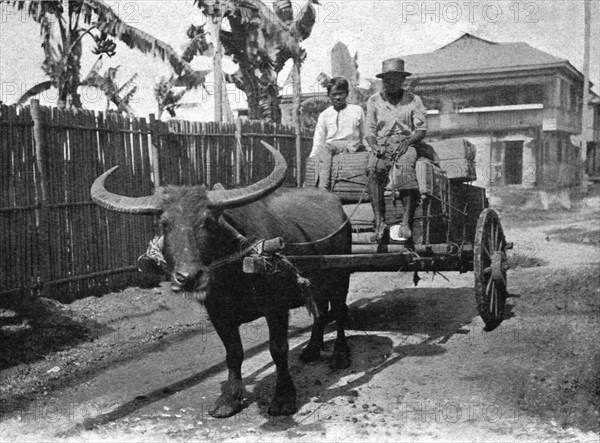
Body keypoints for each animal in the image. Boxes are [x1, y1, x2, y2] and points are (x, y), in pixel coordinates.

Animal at [89, 143, 352, 420]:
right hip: (319, 283)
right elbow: (233, 353)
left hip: (341, 277)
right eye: (165, 224)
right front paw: (229, 399)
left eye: (207, 221)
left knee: (340, 312)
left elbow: (278, 349)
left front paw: (283, 398)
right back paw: (312, 350)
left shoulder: (276, 308)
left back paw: (340, 356)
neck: (233, 276)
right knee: (321, 312)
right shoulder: (218, 314)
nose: (188, 277)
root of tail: (338, 207)